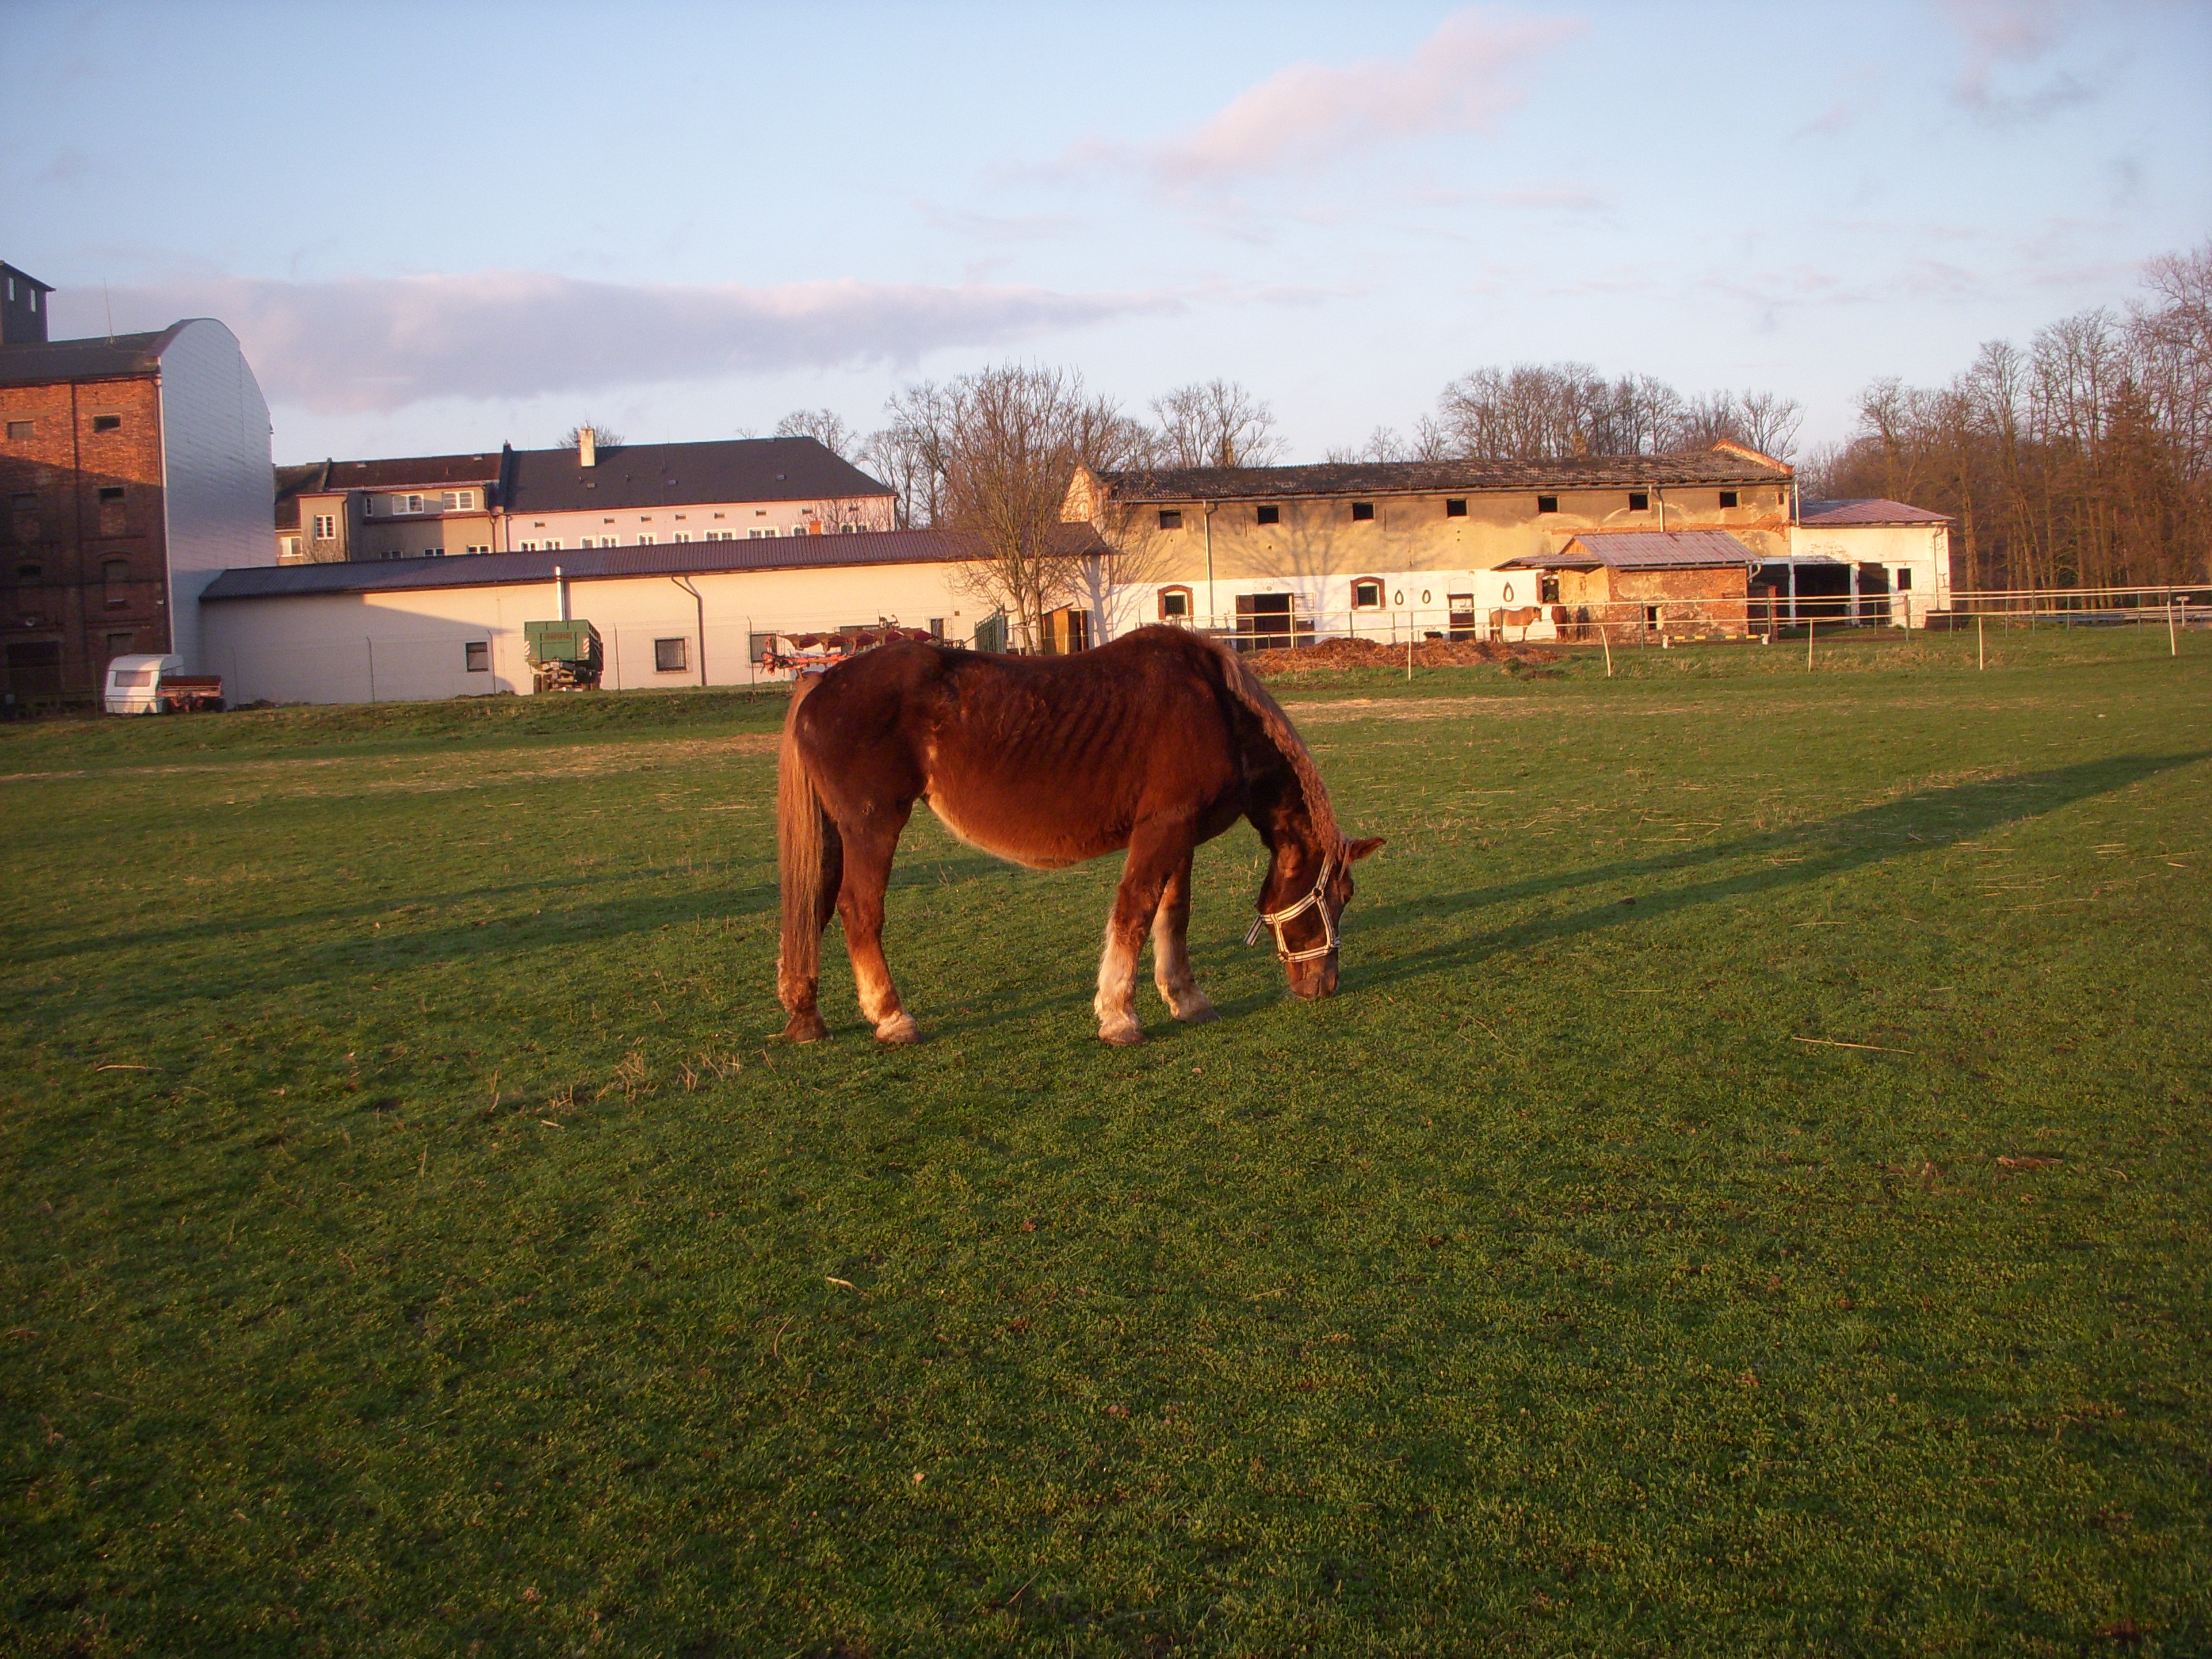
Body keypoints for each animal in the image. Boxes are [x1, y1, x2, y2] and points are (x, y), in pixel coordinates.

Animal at [783, 623, 1380, 1040]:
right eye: (1342, 896)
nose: (1324, 986)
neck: (1218, 710)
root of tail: (821, 680)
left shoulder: (1180, 835)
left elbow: (1173, 915)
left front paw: (1187, 1000)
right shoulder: (1163, 828)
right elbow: (1135, 912)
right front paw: (1118, 1016)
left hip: (840, 834)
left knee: (814, 907)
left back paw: (805, 1013)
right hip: (873, 825)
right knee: (859, 910)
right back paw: (892, 1018)